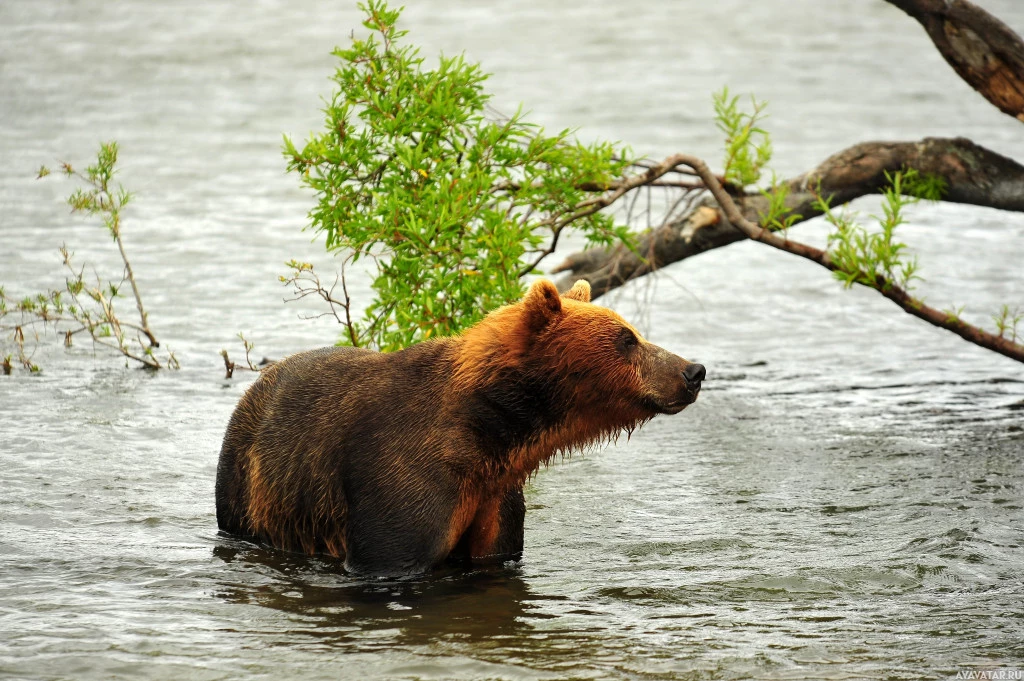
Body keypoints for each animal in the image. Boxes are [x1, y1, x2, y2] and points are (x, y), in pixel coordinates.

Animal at [216, 278, 704, 573]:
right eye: (627, 339)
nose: (692, 370)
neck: (490, 429)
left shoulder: (495, 496)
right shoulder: (401, 477)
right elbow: (392, 551)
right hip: (247, 481)